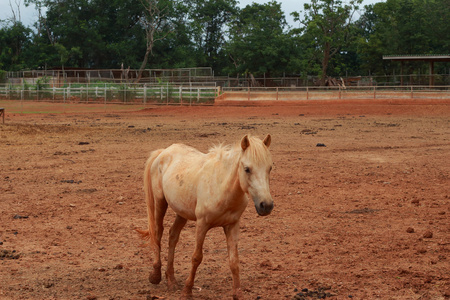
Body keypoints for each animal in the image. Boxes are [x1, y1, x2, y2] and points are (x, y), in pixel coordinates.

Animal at [135, 135, 272, 298]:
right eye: (247, 169)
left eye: (270, 168)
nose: (266, 205)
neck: (222, 187)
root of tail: (164, 151)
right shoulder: (202, 224)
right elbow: (196, 257)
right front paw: (187, 291)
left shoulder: (232, 225)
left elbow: (234, 261)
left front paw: (238, 294)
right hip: (160, 202)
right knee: (157, 232)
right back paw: (156, 275)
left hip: (182, 212)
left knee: (173, 236)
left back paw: (171, 280)